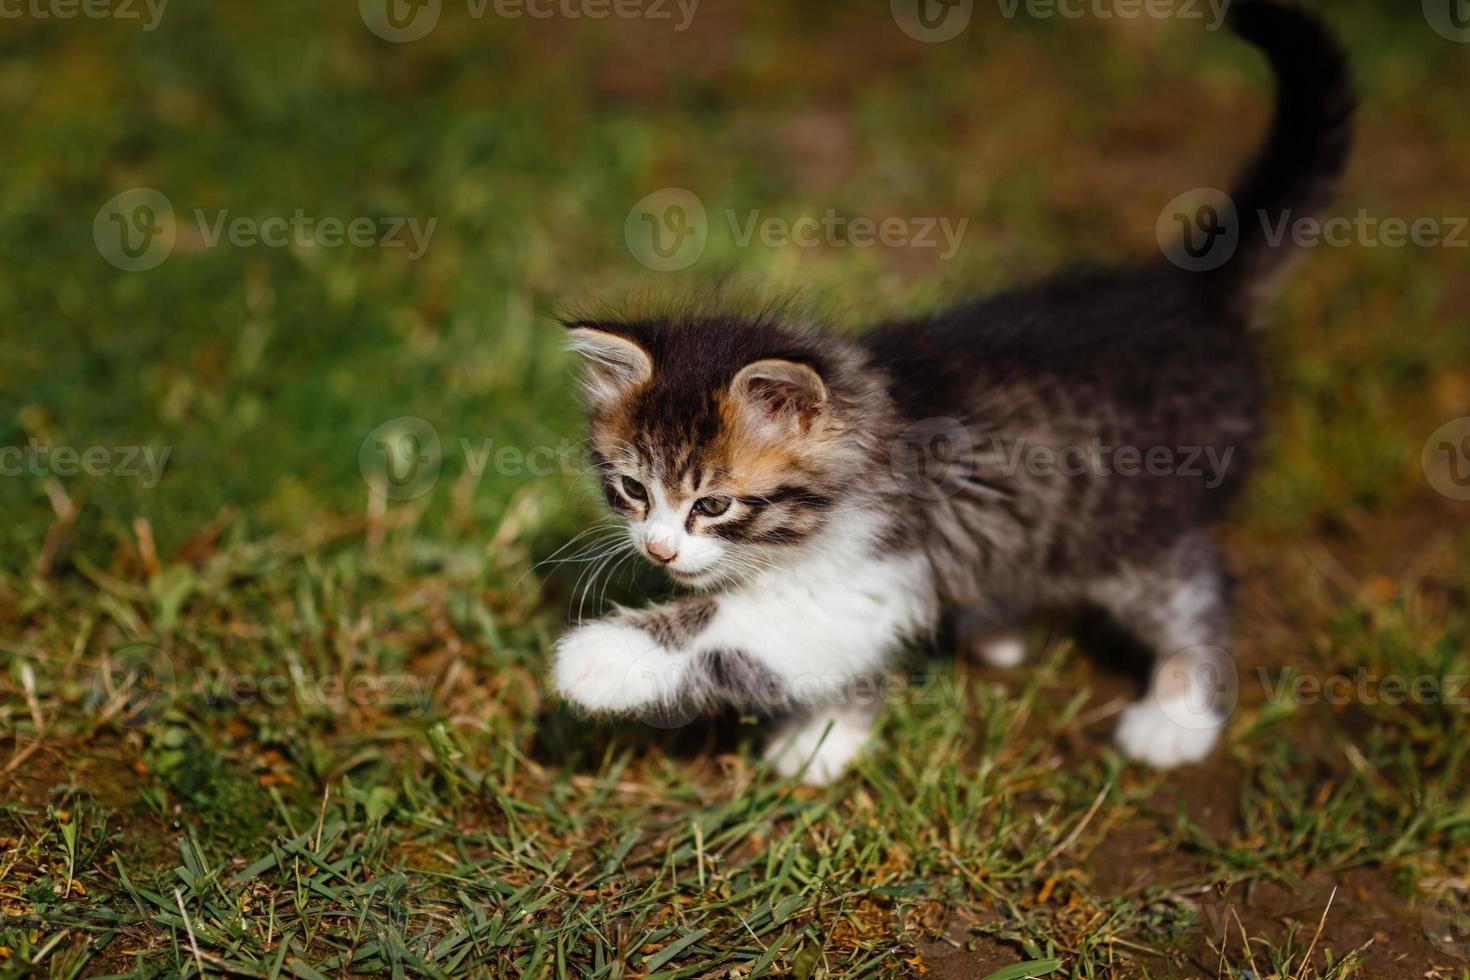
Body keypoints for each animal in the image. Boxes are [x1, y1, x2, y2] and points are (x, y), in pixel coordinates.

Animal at [552, 0, 1352, 787]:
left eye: (713, 505)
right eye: (632, 489)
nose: (657, 550)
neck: (869, 410)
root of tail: (1196, 301)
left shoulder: (869, 570)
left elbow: (731, 624)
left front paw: (599, 660)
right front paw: (829, 736)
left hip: (1140, 526)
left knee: (1201, 591)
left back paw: (1178, 715)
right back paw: (997, 625)